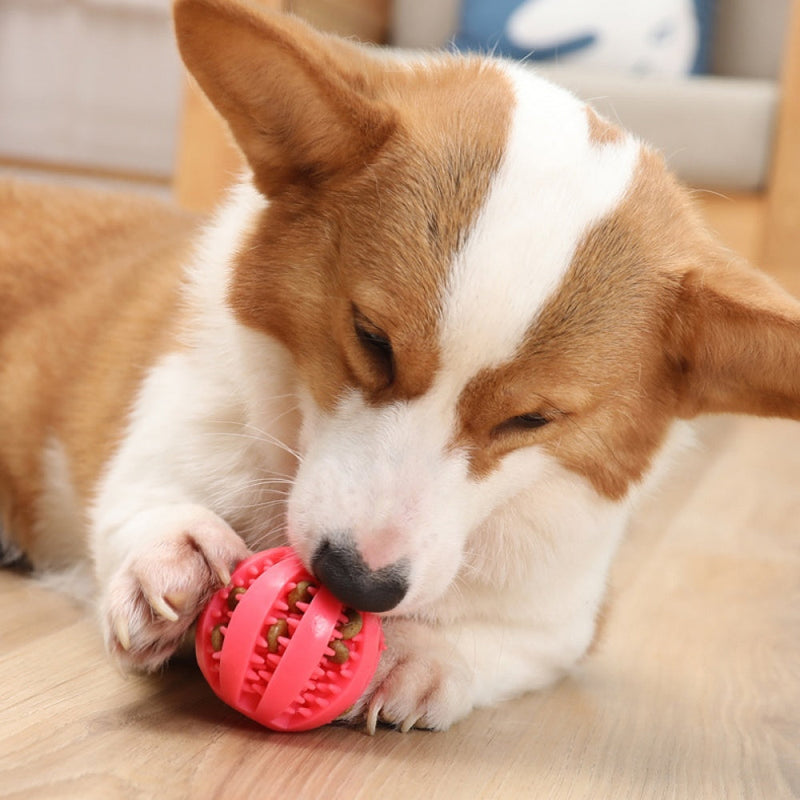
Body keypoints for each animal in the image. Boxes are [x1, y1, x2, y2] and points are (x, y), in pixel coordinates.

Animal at [1, 0, 800, 736]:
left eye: (532, 419)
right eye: (372, 338)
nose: (354, 581)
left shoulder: (565, 618)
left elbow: (501, 644)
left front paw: (421, 656)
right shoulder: (161, 441)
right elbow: (145, 503)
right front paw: (175, 557)